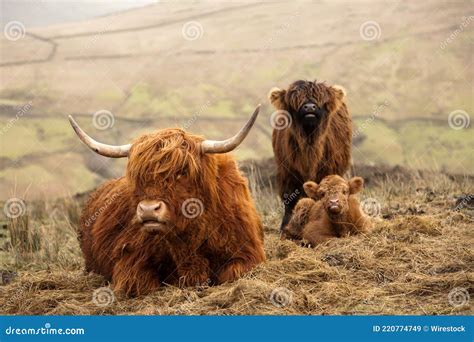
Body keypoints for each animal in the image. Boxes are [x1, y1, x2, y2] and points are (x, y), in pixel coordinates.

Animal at [68, 107, 264, 296]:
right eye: (138, 177)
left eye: (182, 172)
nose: (148, 209)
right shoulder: (130, 260)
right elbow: (144, 284)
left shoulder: (248, 254)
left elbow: (232, 273)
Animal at [266, 79, 352, 230]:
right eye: (295, 101)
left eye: (321, 100)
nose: (310, 107)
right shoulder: (287, 171)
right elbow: (289, 198)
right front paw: (285, 227)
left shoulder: (328, 169)